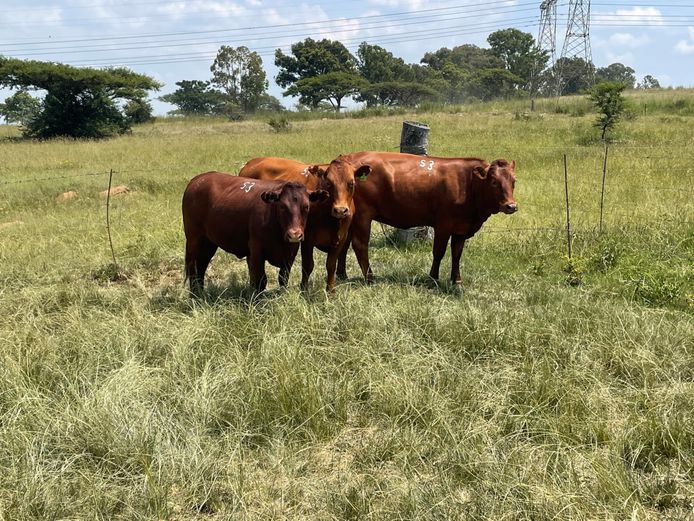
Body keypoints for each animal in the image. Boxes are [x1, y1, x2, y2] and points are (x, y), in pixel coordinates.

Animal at [182, 171, 328, 292]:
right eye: (282, 206)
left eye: (306, 206)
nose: (294, 234)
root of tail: (197, 180)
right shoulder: (257, 251)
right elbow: (260, 280)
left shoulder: (290, 252)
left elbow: (283, 278)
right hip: (193, 240)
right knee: (193, 267)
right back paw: (194, 295)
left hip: (209, 242)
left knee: (202, 265)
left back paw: (200, 292)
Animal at [241, 156, 372, 290]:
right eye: (329, 183)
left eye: (351, 183)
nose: (340, 210)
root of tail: (251, 162)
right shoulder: (307, 238)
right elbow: (307, 265)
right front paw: (304, 288)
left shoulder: (341, 239)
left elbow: (331, 265)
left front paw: (330, 290)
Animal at [334, 151, 520, 284]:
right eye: (494, 182)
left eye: (514, 181)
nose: (511, 206)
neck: (468, 184)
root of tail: (349, 158)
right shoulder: (443, 224)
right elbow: (439, 252)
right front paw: (433, 278)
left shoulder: (461, 228)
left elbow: (457, 253)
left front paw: (456, 280)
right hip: (363, 215)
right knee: (360, 245)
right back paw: (370, 278)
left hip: (351, 216)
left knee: (345, 244)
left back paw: (342, 274)